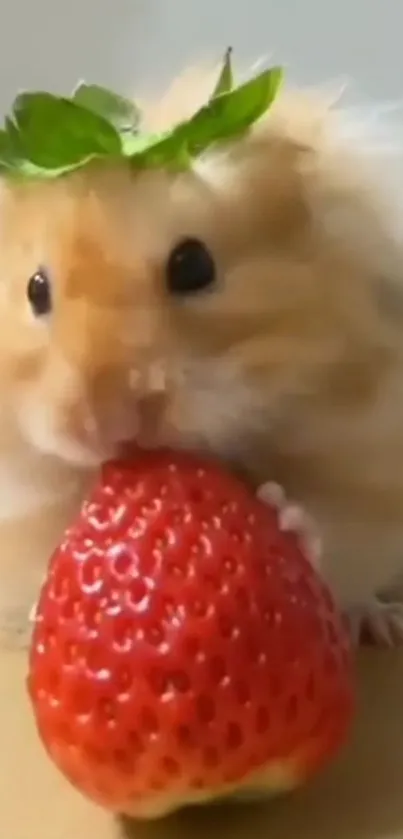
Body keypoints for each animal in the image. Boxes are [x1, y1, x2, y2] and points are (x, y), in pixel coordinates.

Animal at [0, 65, 403, 648]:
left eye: (193, 266)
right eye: (35, 290)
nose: (104, 427)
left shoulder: (368, 464)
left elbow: (328, 528)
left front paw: (283, 513)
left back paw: (383, 625)